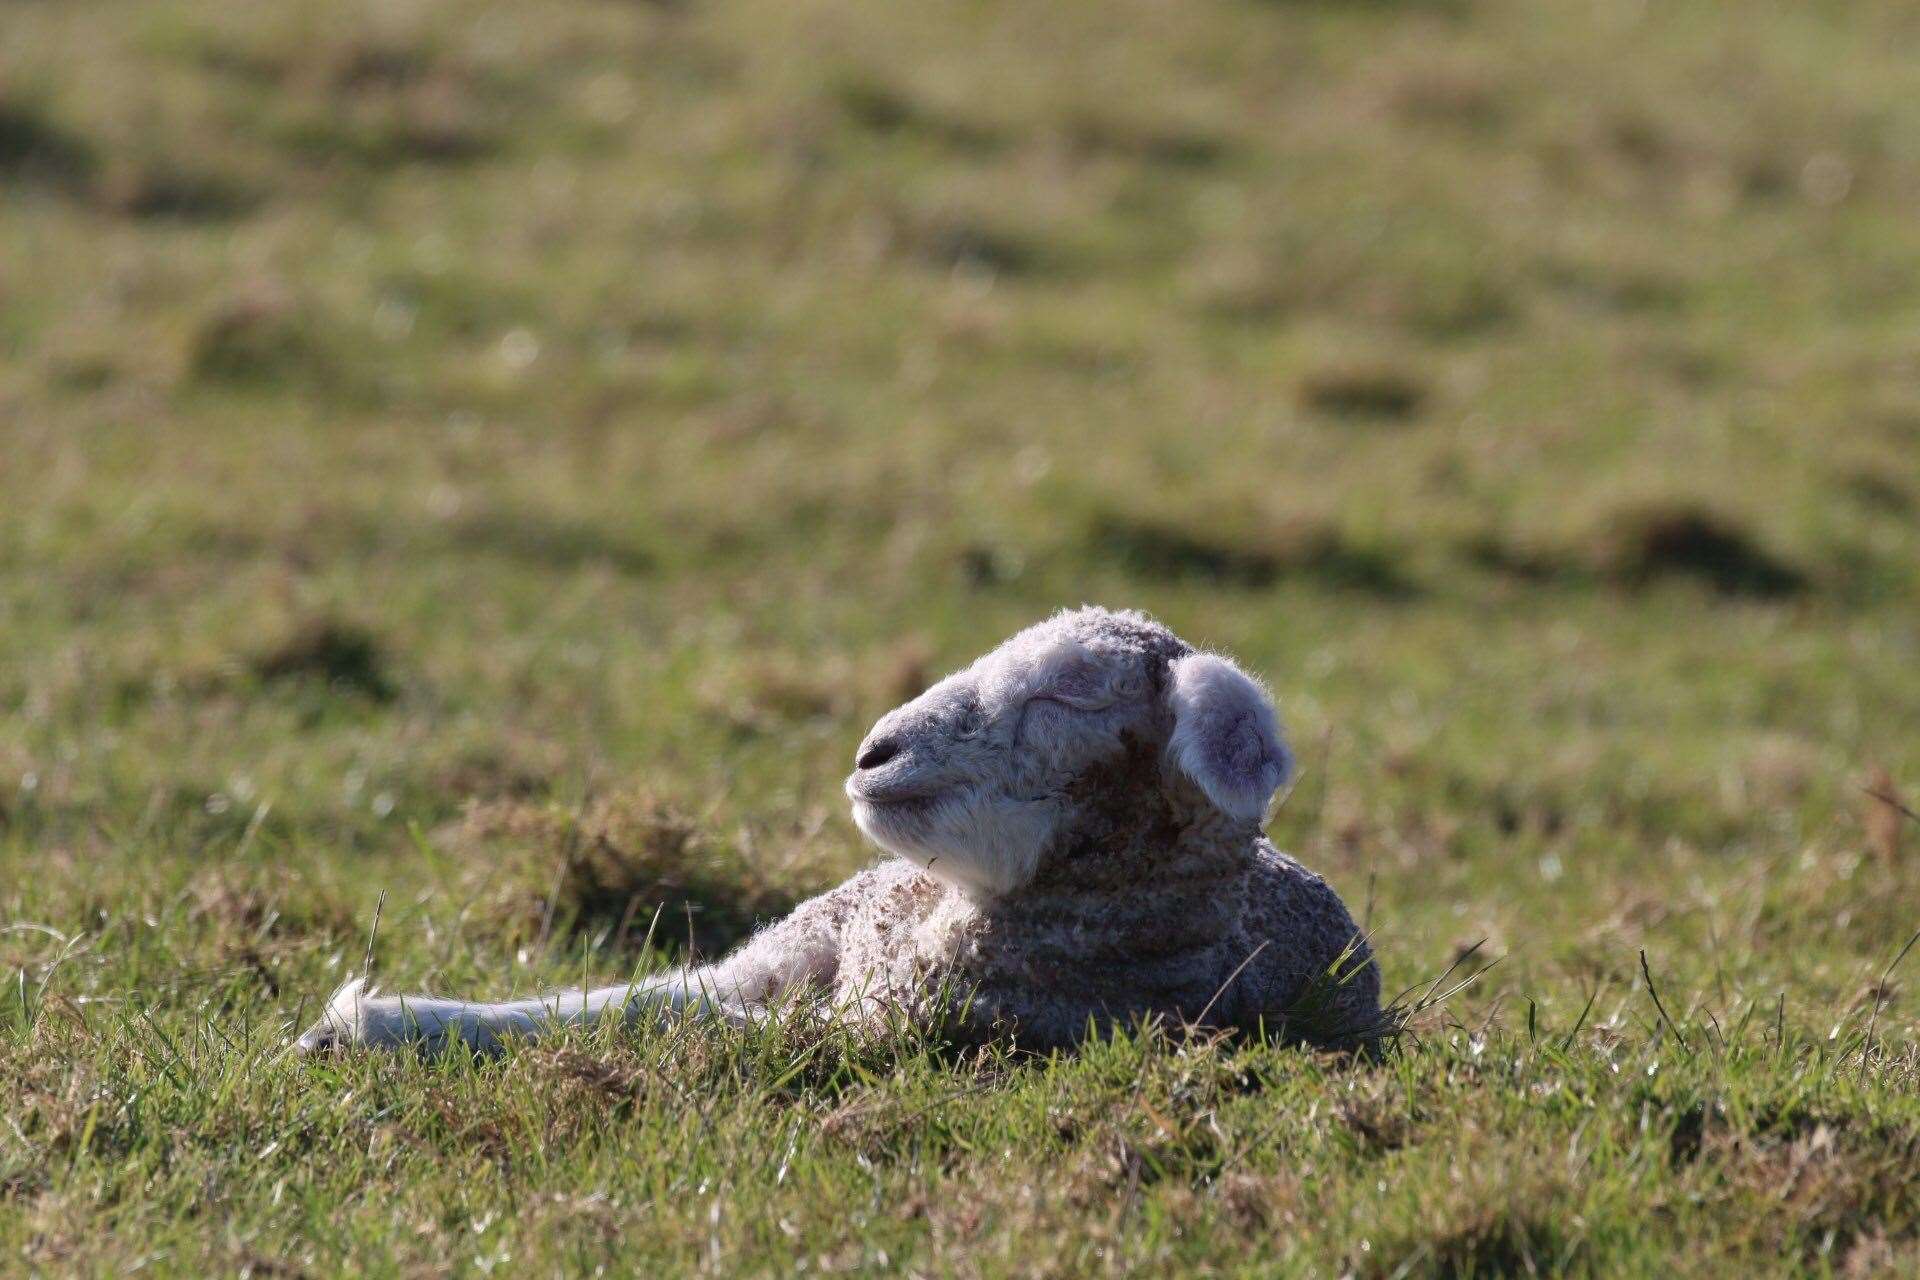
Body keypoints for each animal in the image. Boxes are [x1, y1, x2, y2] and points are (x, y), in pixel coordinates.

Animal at [295, 606, 1382, 1059]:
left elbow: (692, 1037)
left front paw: (376, 1030)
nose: (876, 751)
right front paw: (380, 1023)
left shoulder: (905, 1028)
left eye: (1064, 693)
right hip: (810, 924)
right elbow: (644, 1009)